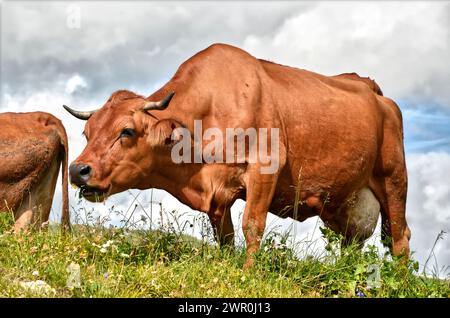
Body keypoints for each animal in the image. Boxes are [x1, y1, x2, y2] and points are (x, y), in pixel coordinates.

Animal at [64, 43, 412, 268]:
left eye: (126, 131)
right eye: (87, 133)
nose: (77, 170)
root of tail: (373, 90)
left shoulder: (264, 169)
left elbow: (252, 225)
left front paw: (248, 274)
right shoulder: (218, 195)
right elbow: (226, 237)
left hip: (394, 180)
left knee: (399, 239)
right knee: (352, 245)